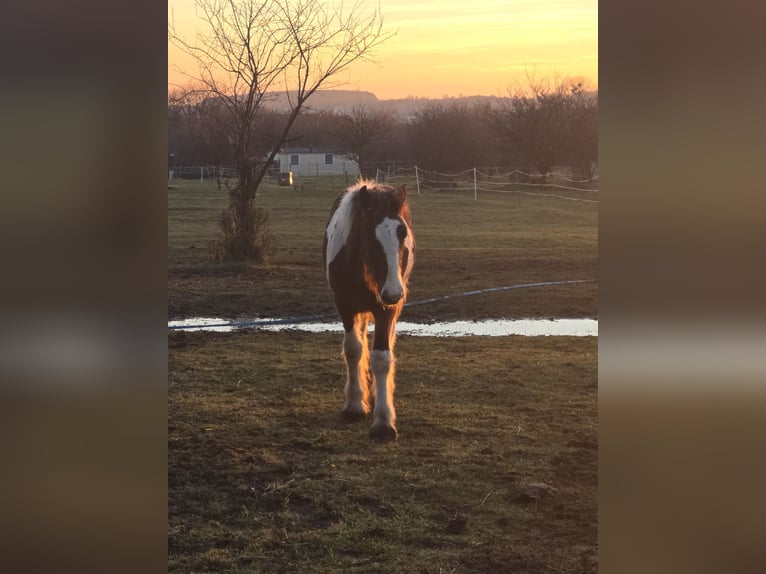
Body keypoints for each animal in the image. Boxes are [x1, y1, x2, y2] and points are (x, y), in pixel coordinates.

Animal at [323, 180, 415, 442]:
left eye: (403, 233)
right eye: (371, 237)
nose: (394, 292)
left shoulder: (386, 310)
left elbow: (382, 358)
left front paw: (383, 423)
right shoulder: (344, 305)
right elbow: (353, 349)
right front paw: (354, 405)